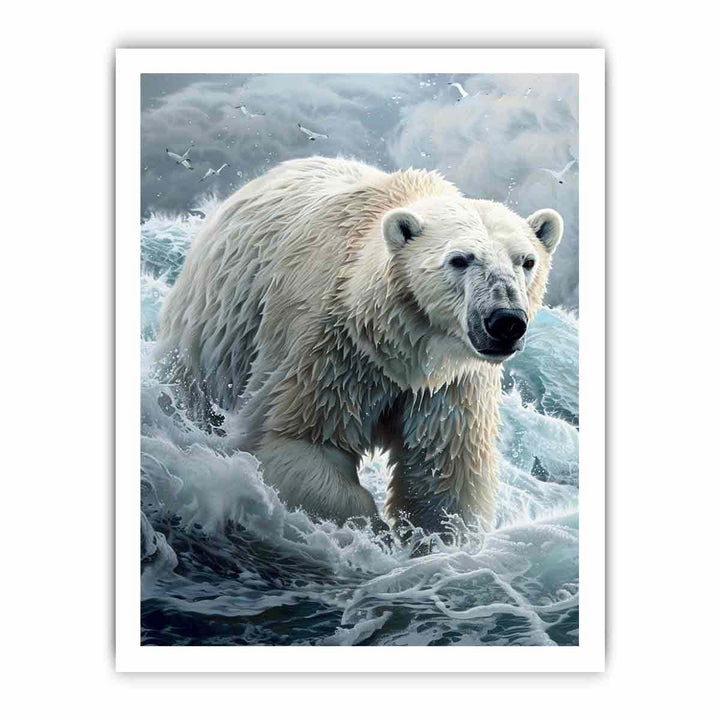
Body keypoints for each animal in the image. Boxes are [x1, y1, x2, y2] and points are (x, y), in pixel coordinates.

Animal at [156, 156, 563, 535]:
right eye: (460, 259)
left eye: (527, 261)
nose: (505, 321)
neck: (400, 344)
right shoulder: (329, 350)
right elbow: (298, 441)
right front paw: (373, 532)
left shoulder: (450, 384)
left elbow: (444, 475)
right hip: (214, 331)